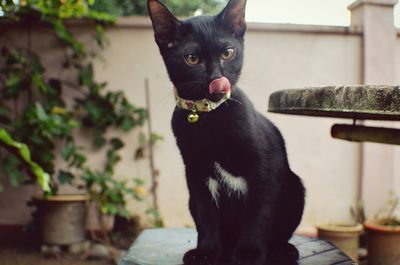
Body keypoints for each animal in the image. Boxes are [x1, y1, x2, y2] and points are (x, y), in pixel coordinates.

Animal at [148, 1, 304, 262]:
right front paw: (206, 251)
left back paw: (281, 248)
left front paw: (249, 253)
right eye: (192, 58)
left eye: (227, 53)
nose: (216, 78)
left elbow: (257, 213)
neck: (209, 118)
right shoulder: (195, 171)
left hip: (295, 186)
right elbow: (205, 215)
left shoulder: (264, 170)